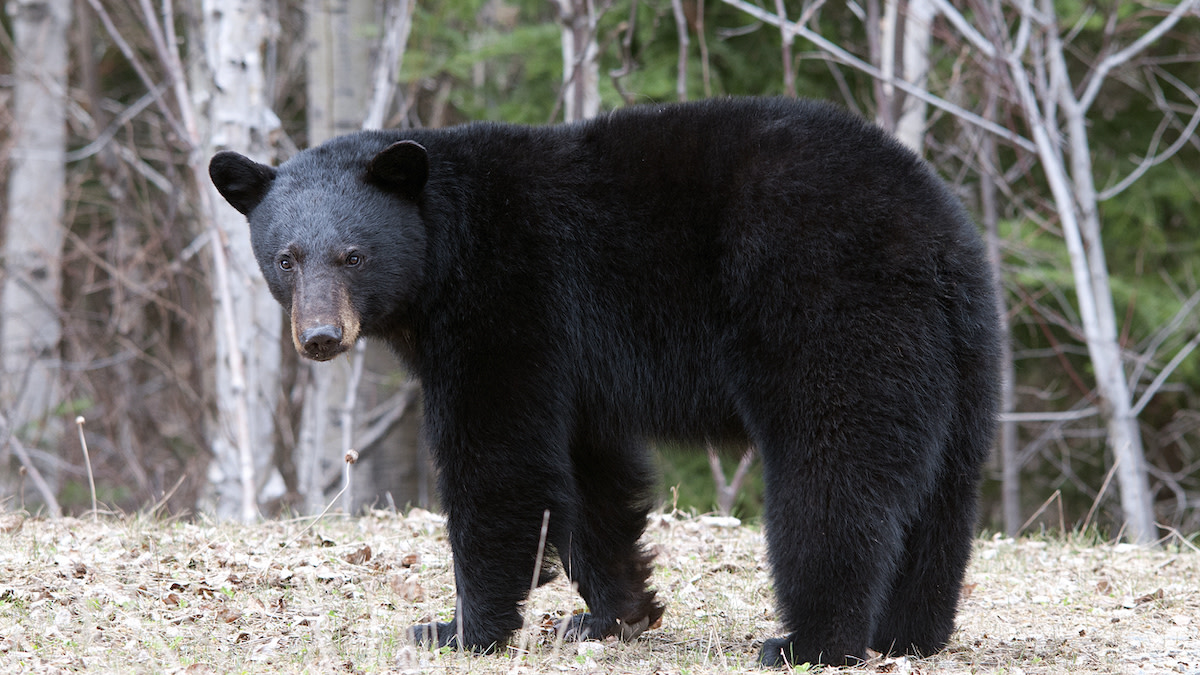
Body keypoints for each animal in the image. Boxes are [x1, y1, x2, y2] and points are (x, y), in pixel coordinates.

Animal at [211, 97, 998, 662]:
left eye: (353, 255)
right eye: (286, 257)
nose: (320, 337)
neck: (445, 248)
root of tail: (932, 237)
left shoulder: (510, 303)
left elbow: (499, 460)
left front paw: (460, 628)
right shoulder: (575, 362)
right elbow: (591, 474)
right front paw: (611, 614)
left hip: (829, 313)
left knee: (832, 474)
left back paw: (809, 642)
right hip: (962, 357)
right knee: (943, 492)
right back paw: (910, 634)